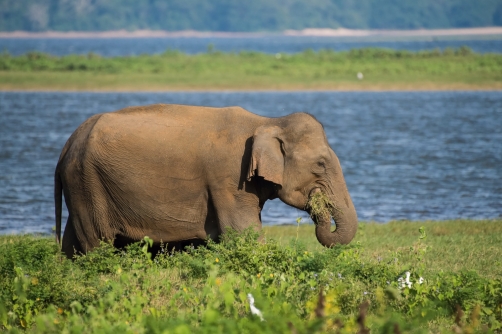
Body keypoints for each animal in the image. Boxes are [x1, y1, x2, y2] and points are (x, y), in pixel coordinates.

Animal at [55, 103, 356, 258]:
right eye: (321, 164)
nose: (319, 206)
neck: (268, 120)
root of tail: (67, 145)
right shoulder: (229, 178)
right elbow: (243, 233)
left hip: (81, 185)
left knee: (74, 242)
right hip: (87, 182)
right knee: (97, 244)